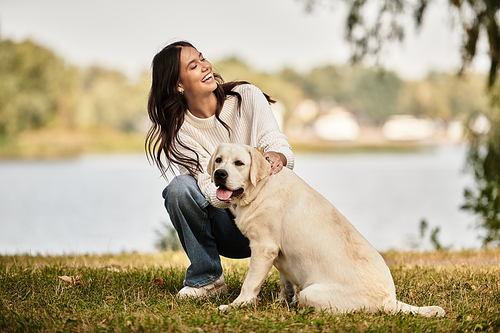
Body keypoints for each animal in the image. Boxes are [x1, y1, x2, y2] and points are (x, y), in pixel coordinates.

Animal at [207, 143, 446, 316]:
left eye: (239, 163)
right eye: (218, 160)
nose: (219, 173)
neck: (260, 188)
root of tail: (390, 301)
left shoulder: (264, 248)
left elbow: (249, 284)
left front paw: (236, 305)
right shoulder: (278, 253)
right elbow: (285, 281)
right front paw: (282, 300)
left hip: (310, 293)